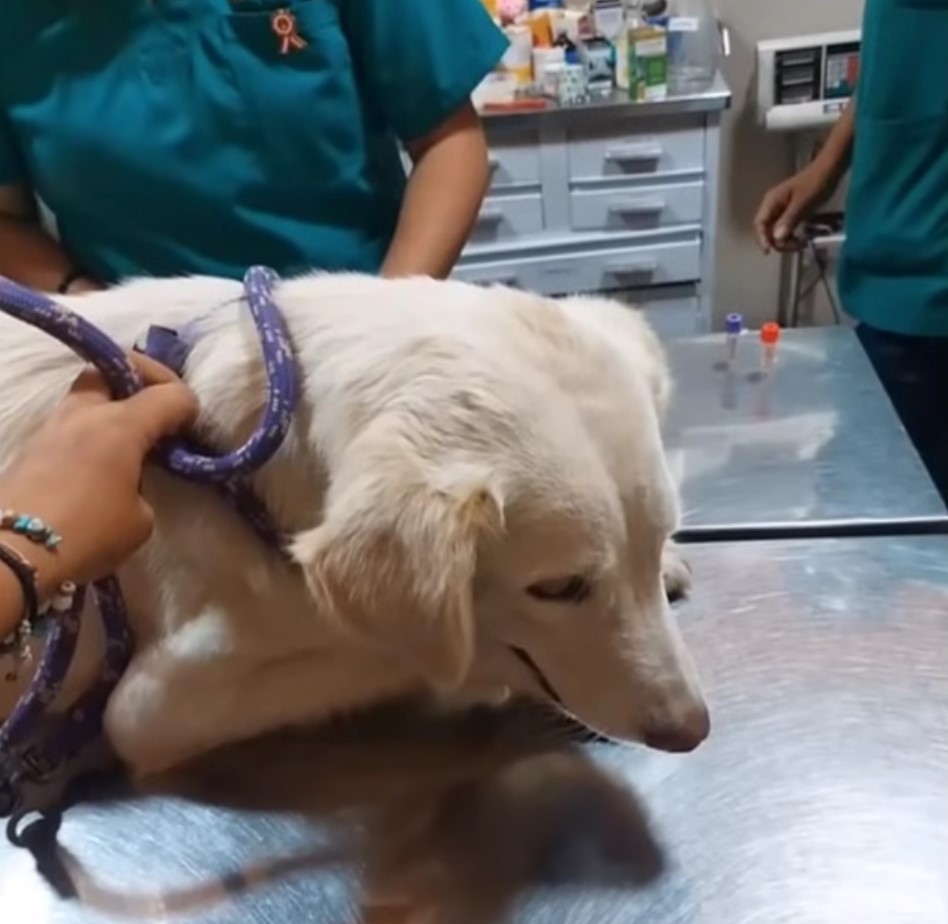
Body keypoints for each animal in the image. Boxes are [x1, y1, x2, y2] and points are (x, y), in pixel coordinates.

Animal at [0, 272, 708, 772]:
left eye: (657, 539)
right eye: (558, 589)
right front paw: (483, 670)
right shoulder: (147, 708)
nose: (692, 730)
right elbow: (396, 653)